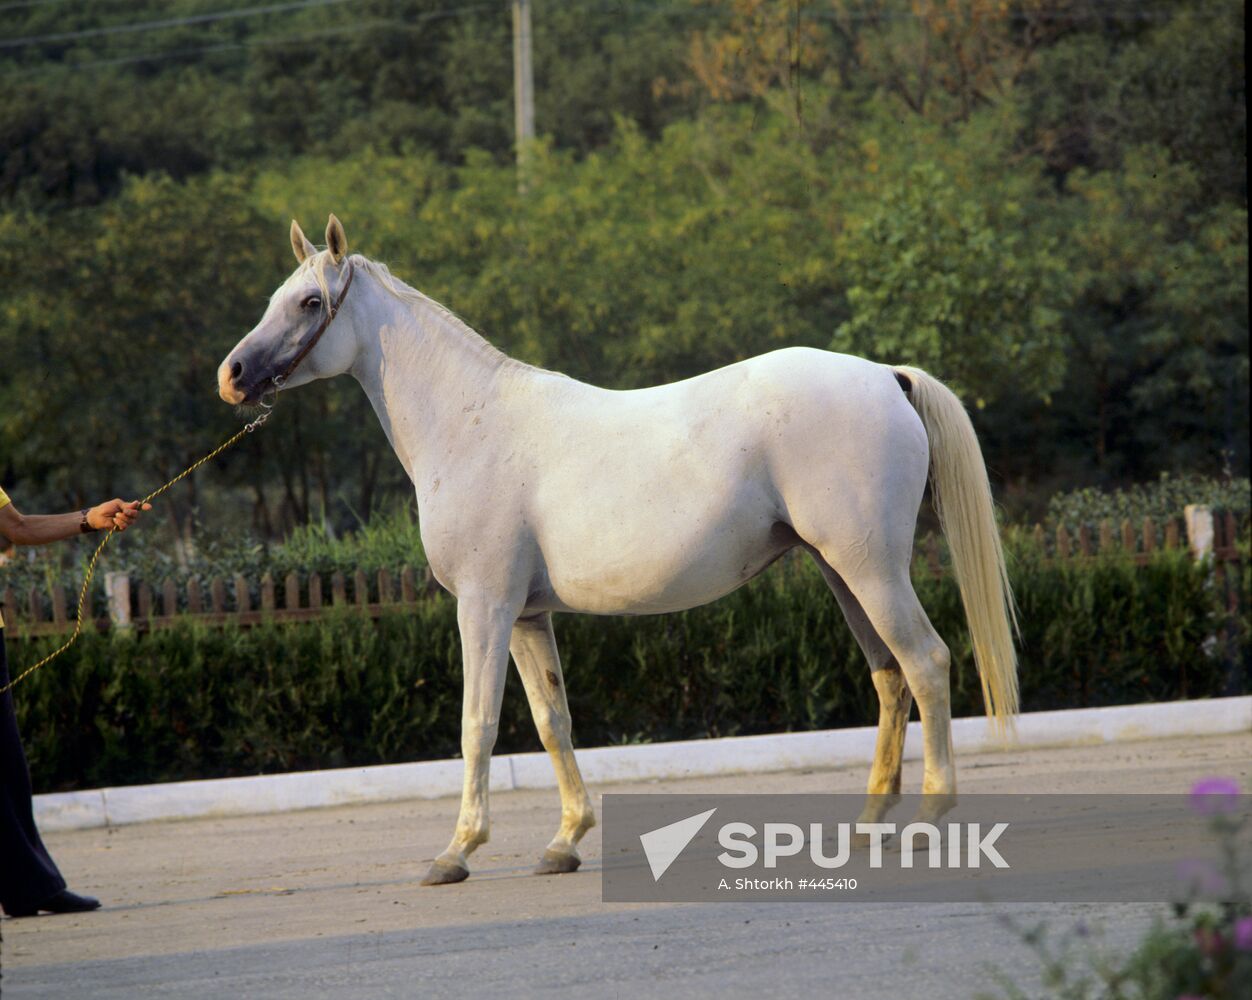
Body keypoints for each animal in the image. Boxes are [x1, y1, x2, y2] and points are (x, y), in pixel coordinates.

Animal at [219, 215, 1018, 886]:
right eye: (277, 298)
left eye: (310, 303)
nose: (232, 376)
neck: (471, 422)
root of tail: (886, 377)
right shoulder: (527, 616)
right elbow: (553, 721)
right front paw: (565, 841)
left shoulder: (484, 606)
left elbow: (478, 724)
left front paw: (457, 850)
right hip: (842, 572)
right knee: (889, 678)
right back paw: (868, 825)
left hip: (872, 571)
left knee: (926, 663)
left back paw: (928, 819)